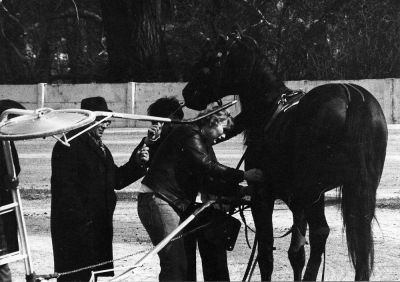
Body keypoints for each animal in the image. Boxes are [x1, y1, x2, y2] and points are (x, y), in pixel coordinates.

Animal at [182, 34, 388, 280]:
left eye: (211, 59)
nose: (187, 93)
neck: (268, 111)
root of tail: (351, 97)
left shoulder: (263, 196)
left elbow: (266, 255)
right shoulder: (298, 199)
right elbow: (296, 253)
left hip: (314, 191)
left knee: (321, 232)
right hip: (353, 190)